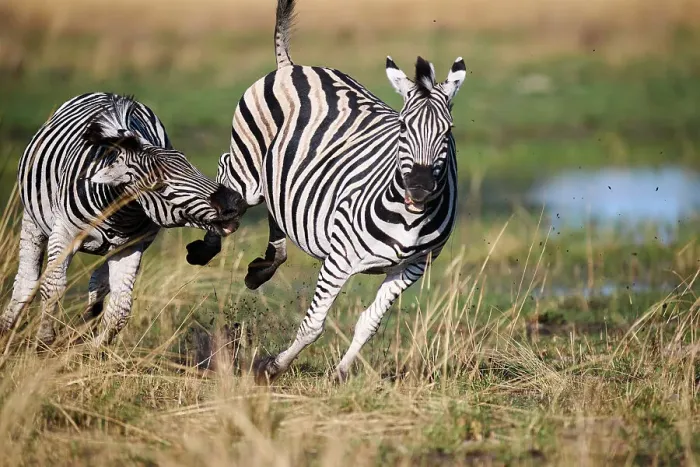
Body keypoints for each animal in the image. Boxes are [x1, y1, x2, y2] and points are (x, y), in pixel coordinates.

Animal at [0, 92, 245, 348]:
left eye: (190, 167)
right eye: (158, 186)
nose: (234, 202)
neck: (118, 213)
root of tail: (108, 93)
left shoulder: (130, 246)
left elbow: (120, 310)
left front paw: (89, 350)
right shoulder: (64, 233)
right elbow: (53, 286)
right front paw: (44, 343)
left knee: (98, 282)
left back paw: (83, 326)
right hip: (32, 220)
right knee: (27, 279)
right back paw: (7, 330)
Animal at [186, 0, 466, 382]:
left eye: (448, 130)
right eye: (402, 127)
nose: (420, 188)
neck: (411, 218)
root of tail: (291, 66)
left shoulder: (411, 268)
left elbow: (369, 324)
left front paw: (340, 375)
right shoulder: (339, 259)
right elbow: (313, 325)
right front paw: (273, 367)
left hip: (280, 175)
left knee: (276, 207)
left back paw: (265, 266)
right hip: (249, 170)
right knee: (228, 175)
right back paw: (208, 246)